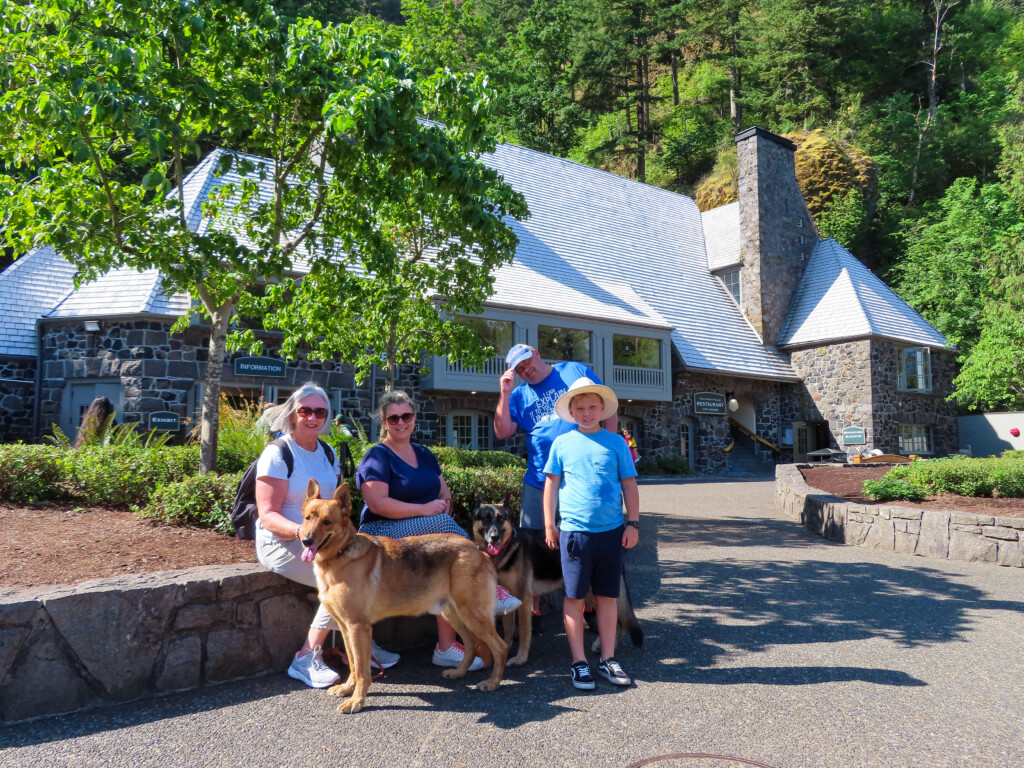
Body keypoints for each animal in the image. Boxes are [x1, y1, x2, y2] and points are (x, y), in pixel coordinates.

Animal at [299, 481, 505, 716]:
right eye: (308, 518)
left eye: (327, 522)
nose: (306, 541)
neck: (341, 553)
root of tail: (479, 551)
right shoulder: (345, 627)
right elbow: (352, 662)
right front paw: (348, 688)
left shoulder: (357, 627)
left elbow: (361, 670)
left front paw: (357, 701)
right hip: (454, 614)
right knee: (471, 645)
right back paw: (459, 672)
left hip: (473, 615)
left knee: (500, 648)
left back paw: (492, 683)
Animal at [468, 495, 638, 663]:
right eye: (486, 519)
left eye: (501, 519)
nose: (494, 537)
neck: (508, 546)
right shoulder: (510, 600)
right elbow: (509, 630)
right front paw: (507, 649)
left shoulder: (524, 600)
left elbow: (524, 633)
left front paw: (520, 658)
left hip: (593, 592)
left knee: (616, 620)